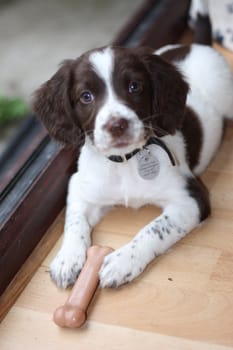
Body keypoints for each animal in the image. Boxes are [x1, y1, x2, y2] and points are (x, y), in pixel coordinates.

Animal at [33, 43, 233, 288]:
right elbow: (74, 220)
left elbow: (154, 229)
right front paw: (67, 259)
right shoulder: (80, 186)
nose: (117, 125)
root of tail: (190, 45)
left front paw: (123, 261)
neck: (125, 161)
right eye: (86, 96)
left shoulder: (191, 198)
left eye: (134, 86)